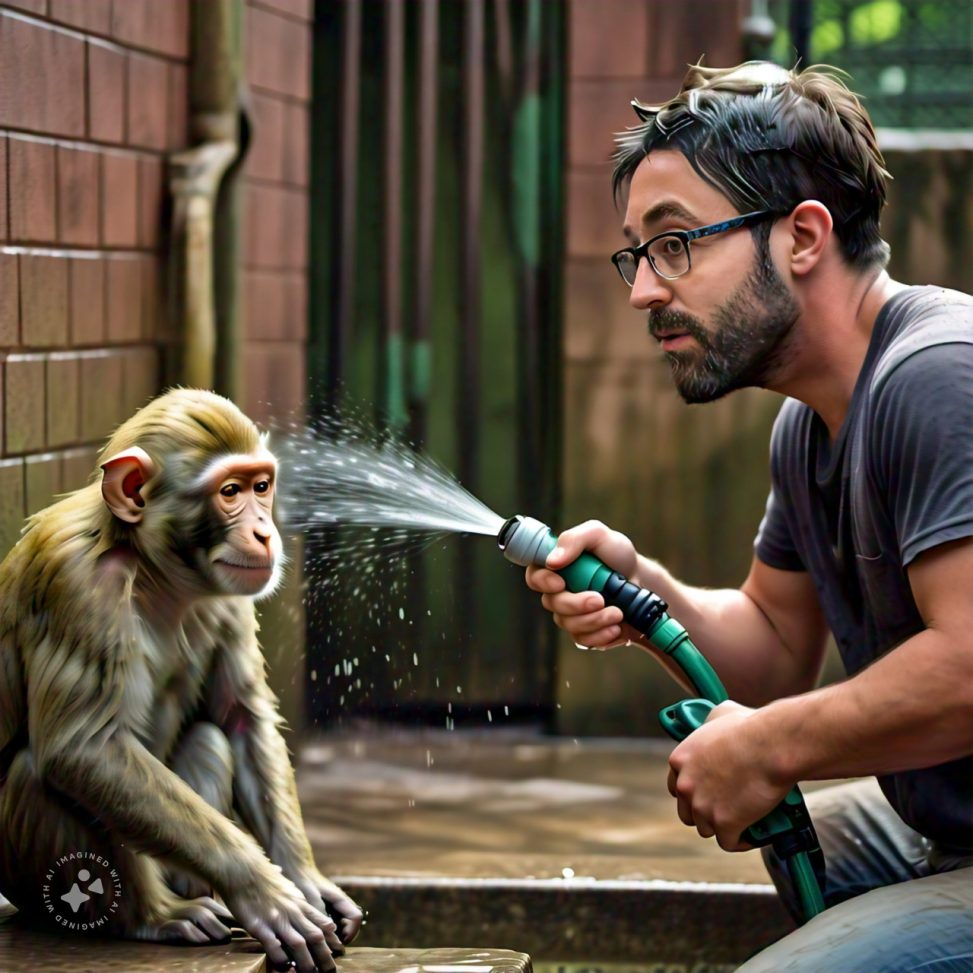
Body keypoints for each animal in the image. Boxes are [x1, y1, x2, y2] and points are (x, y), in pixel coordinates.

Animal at [0, 388, 362, 973]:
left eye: (261, 486)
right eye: (230, 492)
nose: (264, 532)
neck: (150, 568)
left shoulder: (231, 591)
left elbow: (242, 719)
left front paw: (307, 882)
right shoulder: (79, 584)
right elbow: (85, 750)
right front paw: (264, 892)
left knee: (210, 737)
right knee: (40, 769)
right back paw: (152, 916)